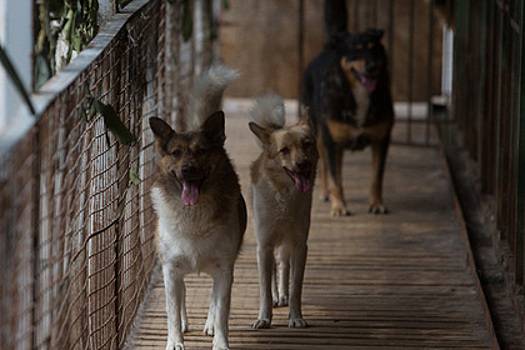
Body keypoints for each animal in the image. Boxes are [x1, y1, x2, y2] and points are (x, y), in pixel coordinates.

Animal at [148, 65, 245, 350]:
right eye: (176, 153)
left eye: (201, 151)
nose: (188, 170)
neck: (193, 214)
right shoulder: (170, 269)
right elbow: (171, 309)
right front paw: (175, 341)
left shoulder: (224, 268)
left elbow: (222, 308)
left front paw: (221, 342)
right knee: (181, 295)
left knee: (214, 299)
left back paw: (210, 324)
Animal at [248, 95, 318, 328]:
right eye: (284, 150)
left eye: (307, 144)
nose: (303, 164)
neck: (284, 198)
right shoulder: (264, 245)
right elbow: (264, 290)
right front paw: (264, 318)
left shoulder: (299, 245)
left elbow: (296, 286)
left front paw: (296, 317)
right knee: (272, 274)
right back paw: (277, 297)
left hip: (287, 244)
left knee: (284, 266)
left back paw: (283, 295)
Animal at [300, 28, 390, 217]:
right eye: (355, 50)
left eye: (373, 48)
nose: (372, 67)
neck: (358, 93)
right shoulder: (332, 143)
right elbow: (335, 178)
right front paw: (339, 206)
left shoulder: (381, 140)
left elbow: (376, 177)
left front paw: (376, 204)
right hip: (319, 135)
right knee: (326, 167)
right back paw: (326, 193)